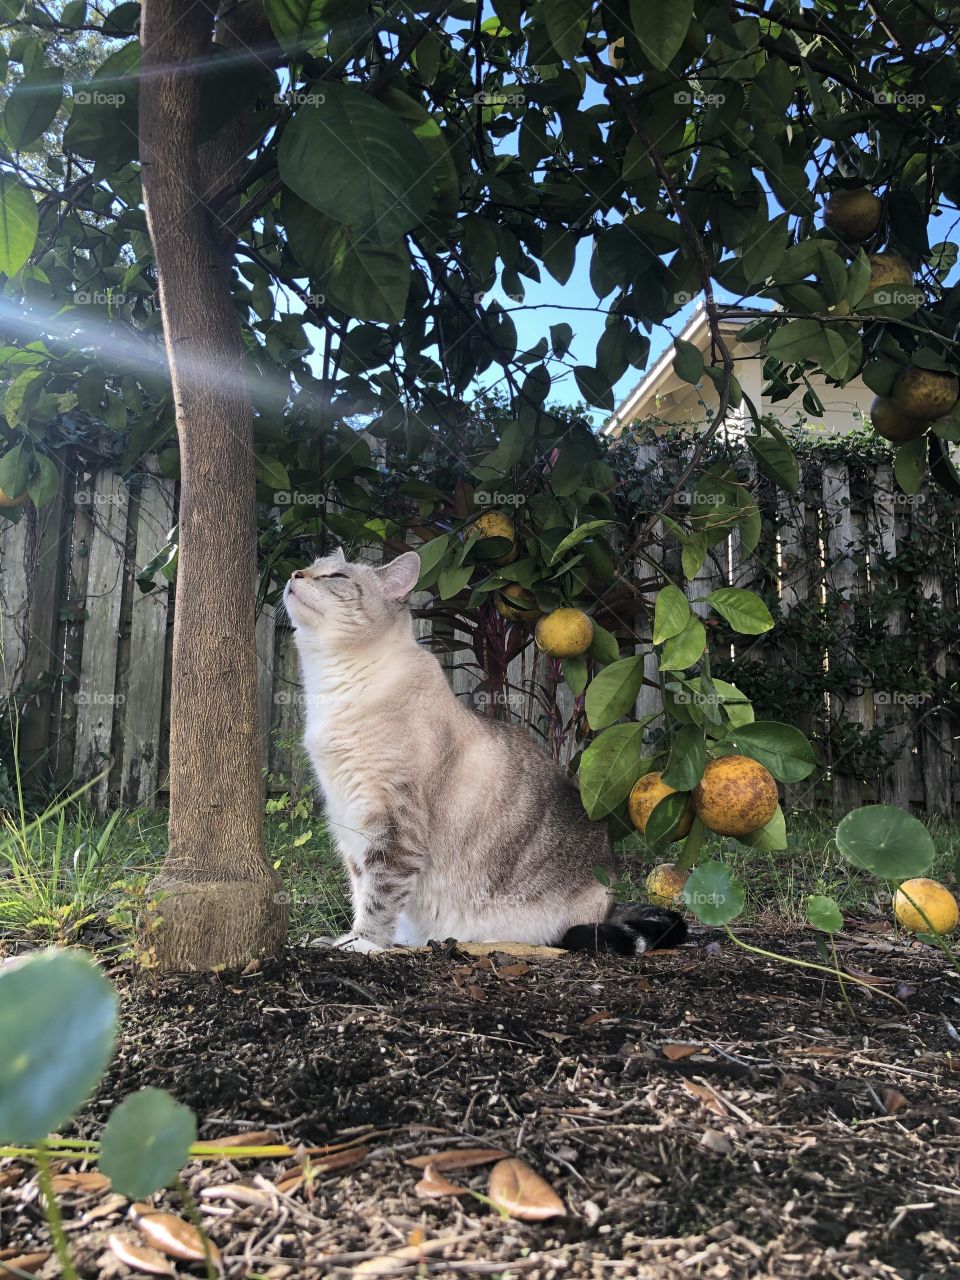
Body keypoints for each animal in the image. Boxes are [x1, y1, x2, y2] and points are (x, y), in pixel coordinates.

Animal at [281, 545, 686, 957]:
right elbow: (360, 890)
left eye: (335, 577)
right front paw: (344, 939)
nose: (295, 574)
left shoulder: (392, 825)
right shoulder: (349, 821)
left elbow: (379, 895)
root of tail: (611, 902)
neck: (330, 687)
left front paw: (363, 944)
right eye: (312, 567)